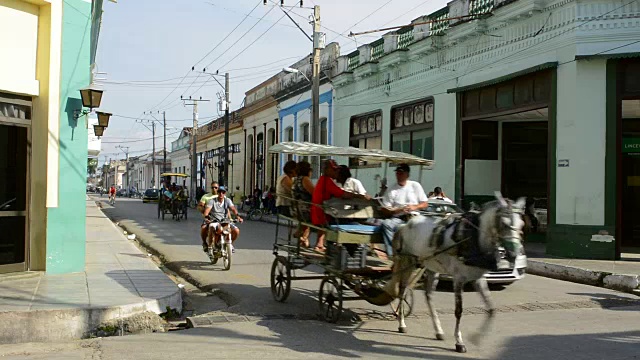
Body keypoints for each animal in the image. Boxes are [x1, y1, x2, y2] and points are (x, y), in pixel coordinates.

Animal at [380, 193, 524, 352]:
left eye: (522, 224)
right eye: (504, 224)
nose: (512, 254)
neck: (473, 237)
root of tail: (405, 225)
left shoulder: (478, 278)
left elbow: (491, 309)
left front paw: (477, 337)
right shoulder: (458, 278)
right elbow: (459, 311)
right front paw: (459, 342)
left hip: (430, 267)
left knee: (428, 295)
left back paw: (438, 331)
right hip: (408, 263)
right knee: (402, 291)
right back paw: (402, 324)